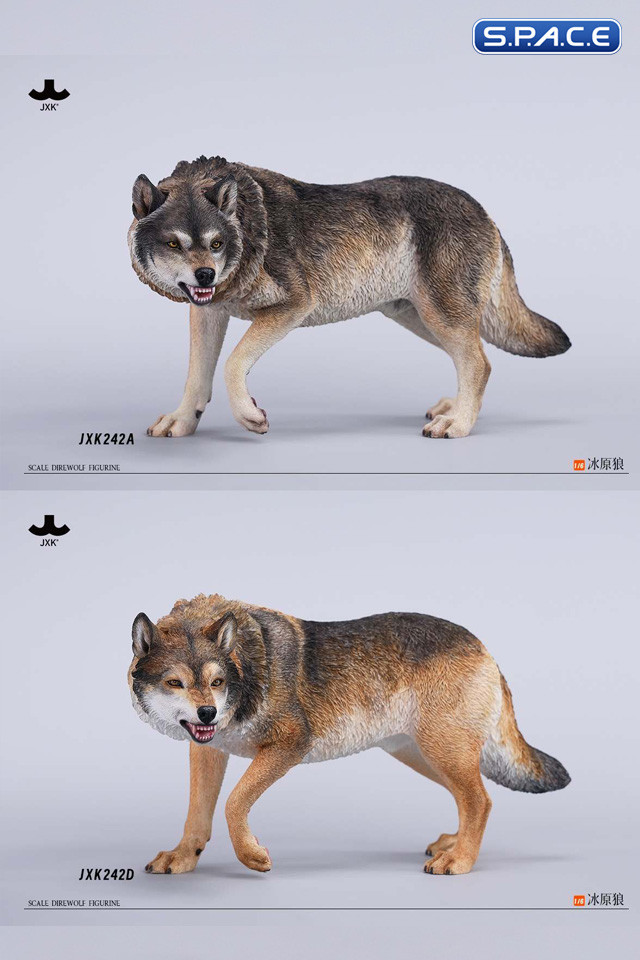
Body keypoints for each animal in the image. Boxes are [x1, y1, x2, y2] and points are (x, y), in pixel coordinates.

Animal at [128, 157, 570, 440]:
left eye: (216, 243)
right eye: (174, 243)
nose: (206, 275)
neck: (248, 229)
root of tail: (486, 212)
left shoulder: (293, 306)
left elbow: (233, 364)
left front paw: (250, 416)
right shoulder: (207, 311)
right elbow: (197, 376)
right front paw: (182, 422)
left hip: (440, 316)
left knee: (479, 364)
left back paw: (458, 423)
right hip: (423, 320)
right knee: (476, 359)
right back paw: (454, 407)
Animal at [129, 594, 570, 876]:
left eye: (216, 681)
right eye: (175, 683)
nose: (208, 712)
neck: (248, 670)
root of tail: (483, 646)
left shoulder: (290, 744)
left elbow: (234, 804)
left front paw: (252, 856)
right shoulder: (207, 749)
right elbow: (197, 815)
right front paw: (184, 858)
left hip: (442, 752)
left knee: (480, 800)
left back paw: (459, 861)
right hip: (425, 756)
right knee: (473, 799)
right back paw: (454, 845)